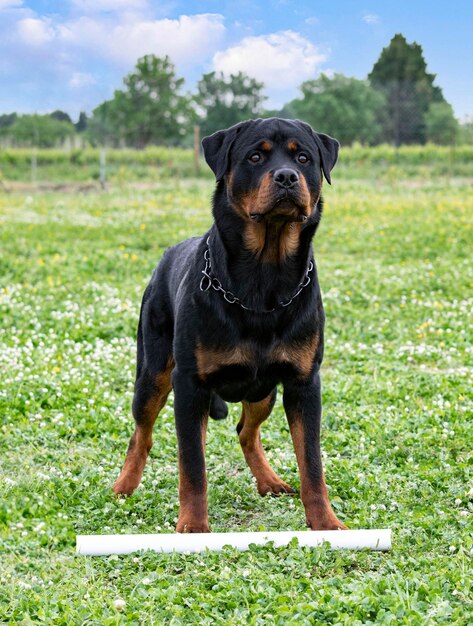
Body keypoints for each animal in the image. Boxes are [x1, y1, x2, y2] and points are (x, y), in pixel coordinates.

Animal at [112, 118, 344, 532]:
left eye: (304, 158)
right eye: (255, 157)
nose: (287, 176)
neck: (264, 279)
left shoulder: (304, 382)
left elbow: (312, 463)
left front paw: (325, 524)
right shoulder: (189, 383)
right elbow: (192, 465)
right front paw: (192, 526)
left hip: (263, 391)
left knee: (245, 431)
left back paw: (269, 480)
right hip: (154, 372)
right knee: (144, 433)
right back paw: (124, 485)